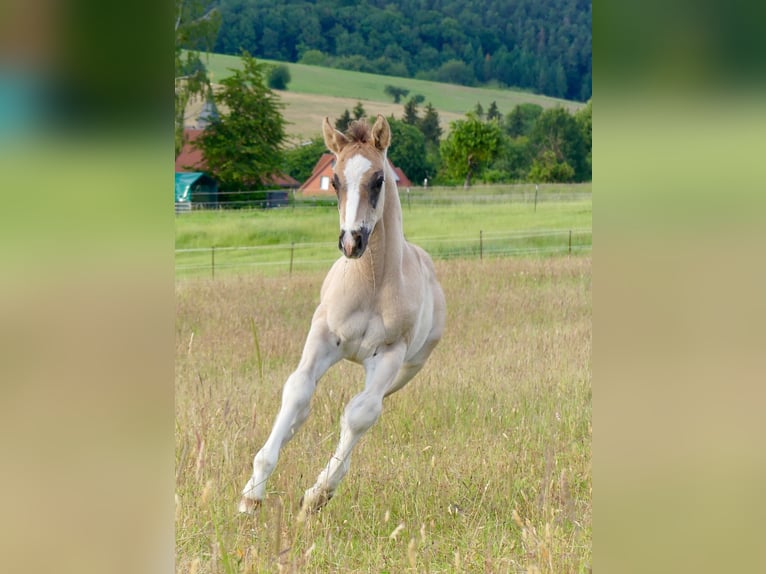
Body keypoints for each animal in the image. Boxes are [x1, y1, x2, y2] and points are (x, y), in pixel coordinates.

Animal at [237, 115, 448, 520]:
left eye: (379, 179)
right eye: (334, 180)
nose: (352, 242)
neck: (370, 284)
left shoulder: (390, 353)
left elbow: (360, 414)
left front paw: (316, 496)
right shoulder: (322, 336)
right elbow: (297, 391)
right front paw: (251, 497)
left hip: (404, 371)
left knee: (365, 411)